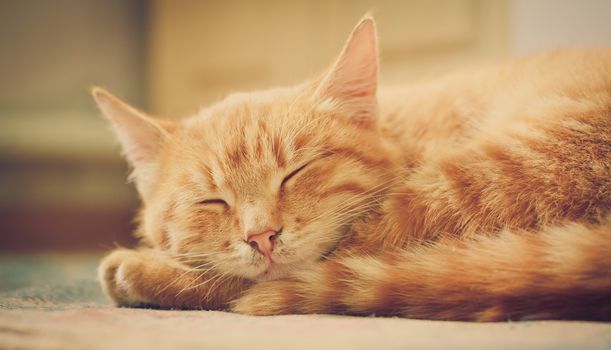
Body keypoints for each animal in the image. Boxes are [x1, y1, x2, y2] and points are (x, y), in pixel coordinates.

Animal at [92, 17, 611, 322]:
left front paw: (147, 267)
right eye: (212, 200)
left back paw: (138, 271)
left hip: (468, 185)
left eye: (296, 172)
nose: (261, 237)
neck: (402, 133)